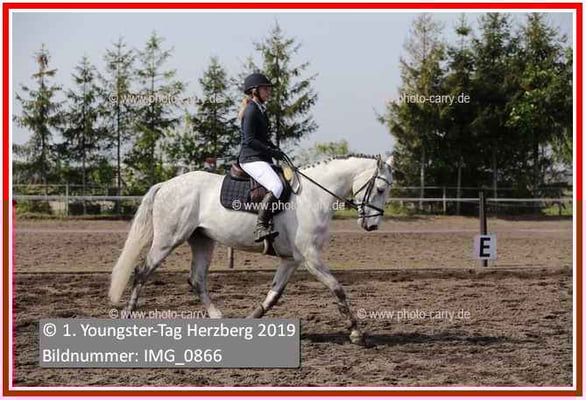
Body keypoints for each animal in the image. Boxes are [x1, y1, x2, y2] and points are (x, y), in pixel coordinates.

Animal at [109, 153, 393, 344]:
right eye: (380, 189)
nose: (372, 225)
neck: (314, 196)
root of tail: (166, 184)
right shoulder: (311, 257)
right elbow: (338, 288)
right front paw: (356, 332)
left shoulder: (291, 260)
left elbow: (274, 294)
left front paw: (251, 320)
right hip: (168, 240)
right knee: (142, 272)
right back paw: (127, 317)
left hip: (202, 241)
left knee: (197, 279)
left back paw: (218, 318)